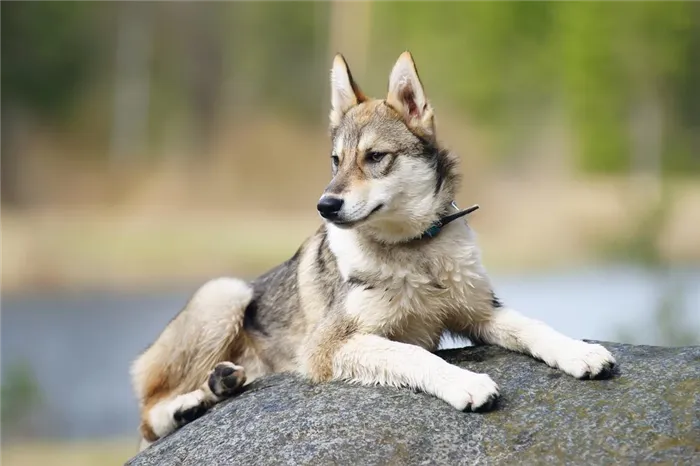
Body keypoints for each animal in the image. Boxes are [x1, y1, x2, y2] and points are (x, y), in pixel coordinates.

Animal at [129, 50, 616, 452]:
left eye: (376, 157)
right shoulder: (329, 346)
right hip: (225, 291)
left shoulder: (480, 312)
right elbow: (411, 354)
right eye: (335, 160)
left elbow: (535, 327)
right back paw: (189, 405)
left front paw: (580, 352)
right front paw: (465, 382)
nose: (325, 205)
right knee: (148, 418)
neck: (415, 251)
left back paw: (221, 384)